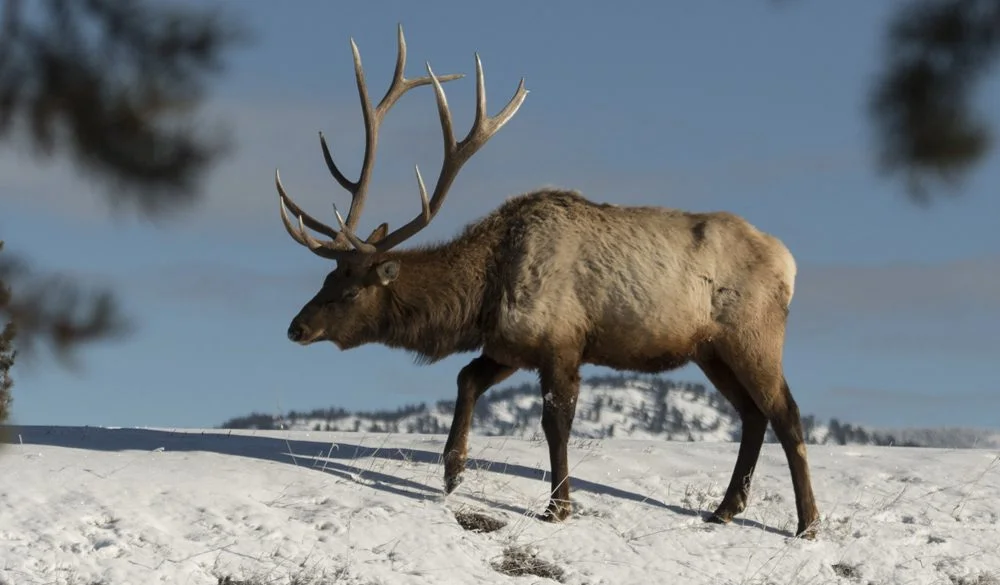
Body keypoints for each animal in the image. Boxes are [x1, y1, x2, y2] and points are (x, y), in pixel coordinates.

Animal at [274, 25, 821, 539]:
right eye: (327, 275)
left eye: (351, 289)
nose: (296, 327)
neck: (485, 295)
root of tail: (790, 263)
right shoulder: (512, 345)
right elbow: (466, 378)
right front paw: (453, 471)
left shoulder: (561, 342)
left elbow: (555, 424)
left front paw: (557, 507)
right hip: (709, 350)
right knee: (753, 414)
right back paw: (727, 508)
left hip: (752, 334)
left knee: (786, 413)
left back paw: (807, 523)